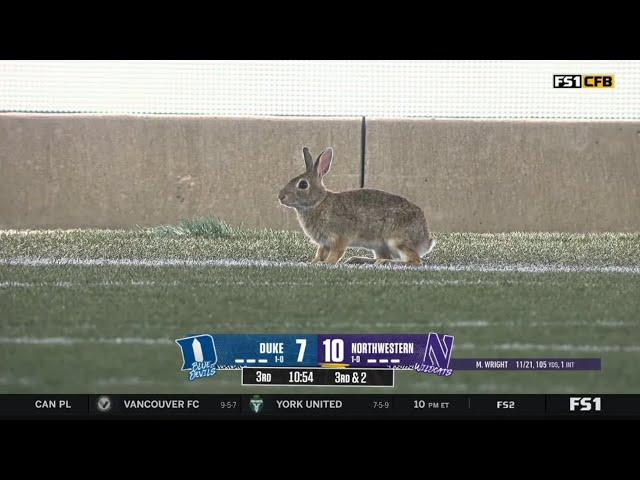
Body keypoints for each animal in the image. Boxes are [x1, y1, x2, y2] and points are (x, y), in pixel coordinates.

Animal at [276, 146, 436, 266]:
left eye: (303, 184)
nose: (280, 197)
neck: (318, 202)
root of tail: (425, 238)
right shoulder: (324, 243)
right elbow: (320, 252)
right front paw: (314, 262)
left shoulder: (339, 237)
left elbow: (336, 253)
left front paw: (326, 263)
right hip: (380, 246)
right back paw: (358, 260)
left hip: (396, 240)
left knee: (415, 261)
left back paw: (384, 263)